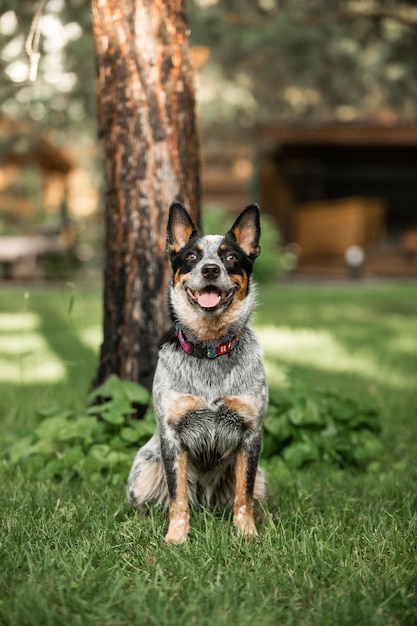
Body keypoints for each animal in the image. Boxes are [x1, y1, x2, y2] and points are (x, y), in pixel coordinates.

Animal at [127, 201, 268, 540]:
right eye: (192, 256)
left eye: (230, 257)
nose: (210, 269)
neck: (209, 350)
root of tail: (205, 499)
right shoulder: (171, 435)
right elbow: (176, 495)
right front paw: (176, 537)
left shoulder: (251, 435)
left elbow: (243, 494)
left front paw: (247, 533)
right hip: (143, 469)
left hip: (263, 477)